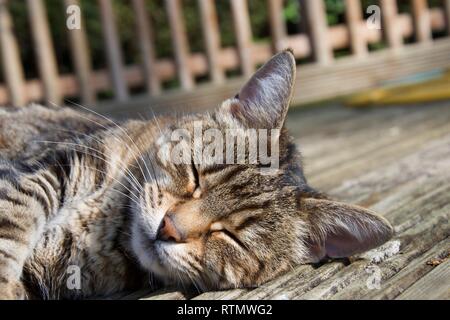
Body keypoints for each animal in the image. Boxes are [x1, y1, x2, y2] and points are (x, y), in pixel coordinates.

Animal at [0, 50, 392, 300]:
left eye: (231, 236)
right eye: (195, 174)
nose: (168, 228)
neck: (110, 226)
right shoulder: (58, 161)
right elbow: (17, 212)